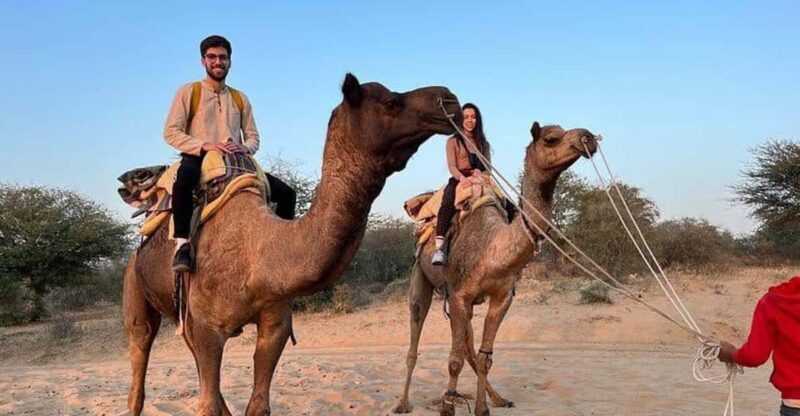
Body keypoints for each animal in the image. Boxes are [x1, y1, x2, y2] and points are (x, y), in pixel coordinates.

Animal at [123, 73, 461, 416]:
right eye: (391, 102)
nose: (449, 99)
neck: (256, 255)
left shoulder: (275, 325)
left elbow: (258, 404)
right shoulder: (208, 327)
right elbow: (206, 405)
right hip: (135, 289)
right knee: (140, 356)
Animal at [393, 122, 598, 416]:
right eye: (550, 138)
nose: (588, 138)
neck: (493, 248)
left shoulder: (501, 297)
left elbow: (483, 357)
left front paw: (482, 408)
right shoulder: (459, 295)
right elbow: (454, 360)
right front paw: (447, 407)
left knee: (469, 347)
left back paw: (498, 398)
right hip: (421, 277)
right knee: (416, 334)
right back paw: (402, 403)